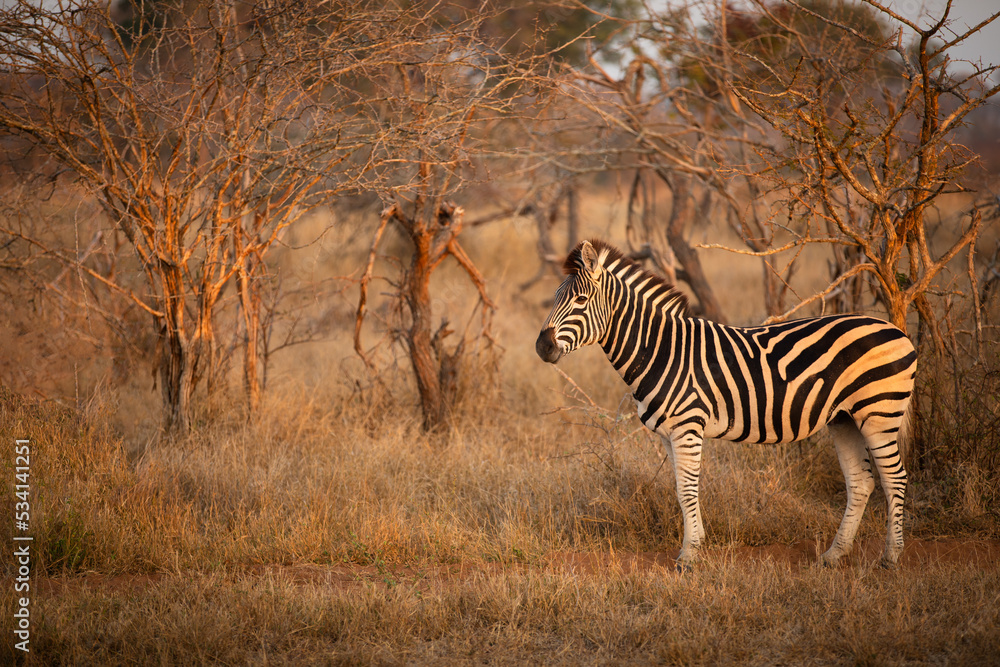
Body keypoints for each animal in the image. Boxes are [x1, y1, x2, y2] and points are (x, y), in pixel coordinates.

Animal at [536, 239, 916, 570]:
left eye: (580, 300)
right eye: (554, 298)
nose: (542, 347)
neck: (660, 349)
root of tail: (897, 330)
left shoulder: (687, 427)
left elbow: (688, 489)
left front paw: (688, 556)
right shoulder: (668, 434)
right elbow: (679, 489)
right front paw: (694, 545)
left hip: (879, 413)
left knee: (895, 478)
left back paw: (892, 557)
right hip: (845, 419)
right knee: (861, 482)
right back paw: (834, 555)